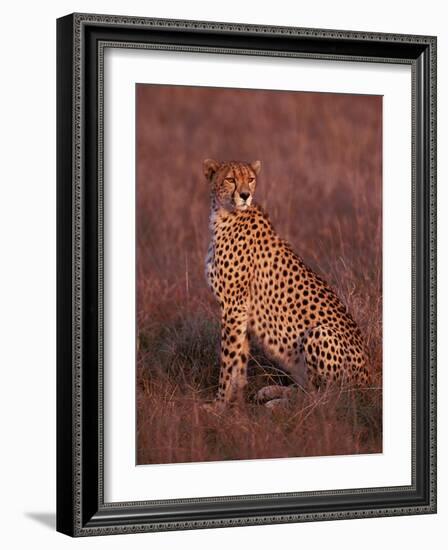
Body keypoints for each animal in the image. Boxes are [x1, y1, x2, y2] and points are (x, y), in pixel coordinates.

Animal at [204, 158, 372, 410]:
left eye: (250, 179)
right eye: (230, 179)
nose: (245, 195)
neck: (225, 215)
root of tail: (369, 380)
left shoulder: (234, 307)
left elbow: (228, 360)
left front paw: (219, 405)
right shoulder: (241, 311)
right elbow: (239, 359)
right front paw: (237, 400)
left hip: (320, 333)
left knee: (326, 398)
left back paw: (277, 403)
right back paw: (271, 391)